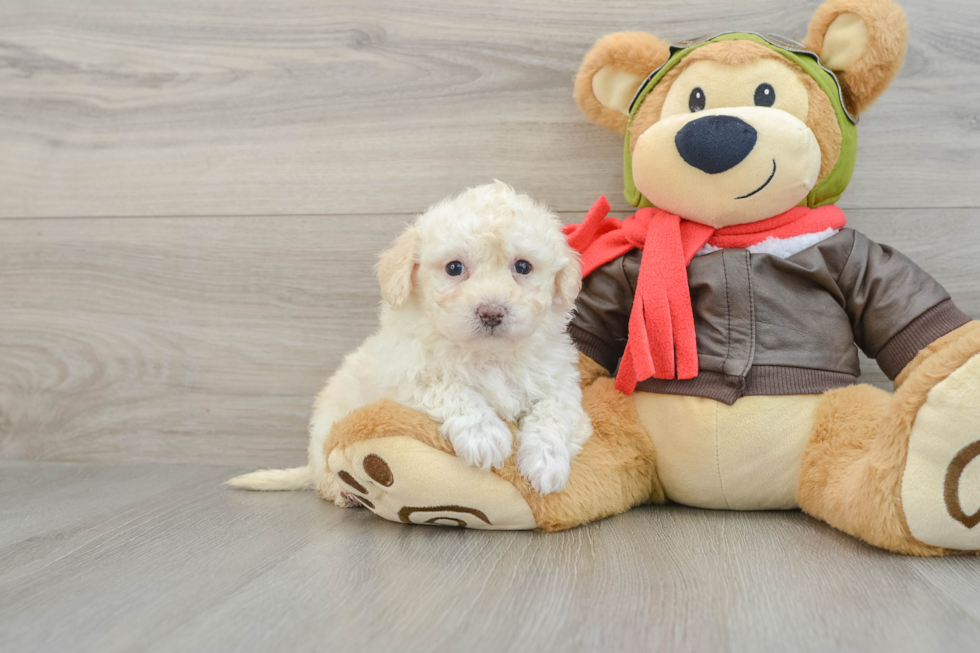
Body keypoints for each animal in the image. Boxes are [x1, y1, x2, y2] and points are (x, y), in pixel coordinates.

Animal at [230, 183, 592, 500]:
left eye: (523, 266)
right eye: (454, 268)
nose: (491, 312)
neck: (486, 355)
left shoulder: (559, 383)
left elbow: (554, 412)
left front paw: (546, 463)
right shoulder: (406, 376)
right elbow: (451, 388)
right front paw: (484, 435)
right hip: (325, 432)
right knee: (323, 474)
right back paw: (342, 492)